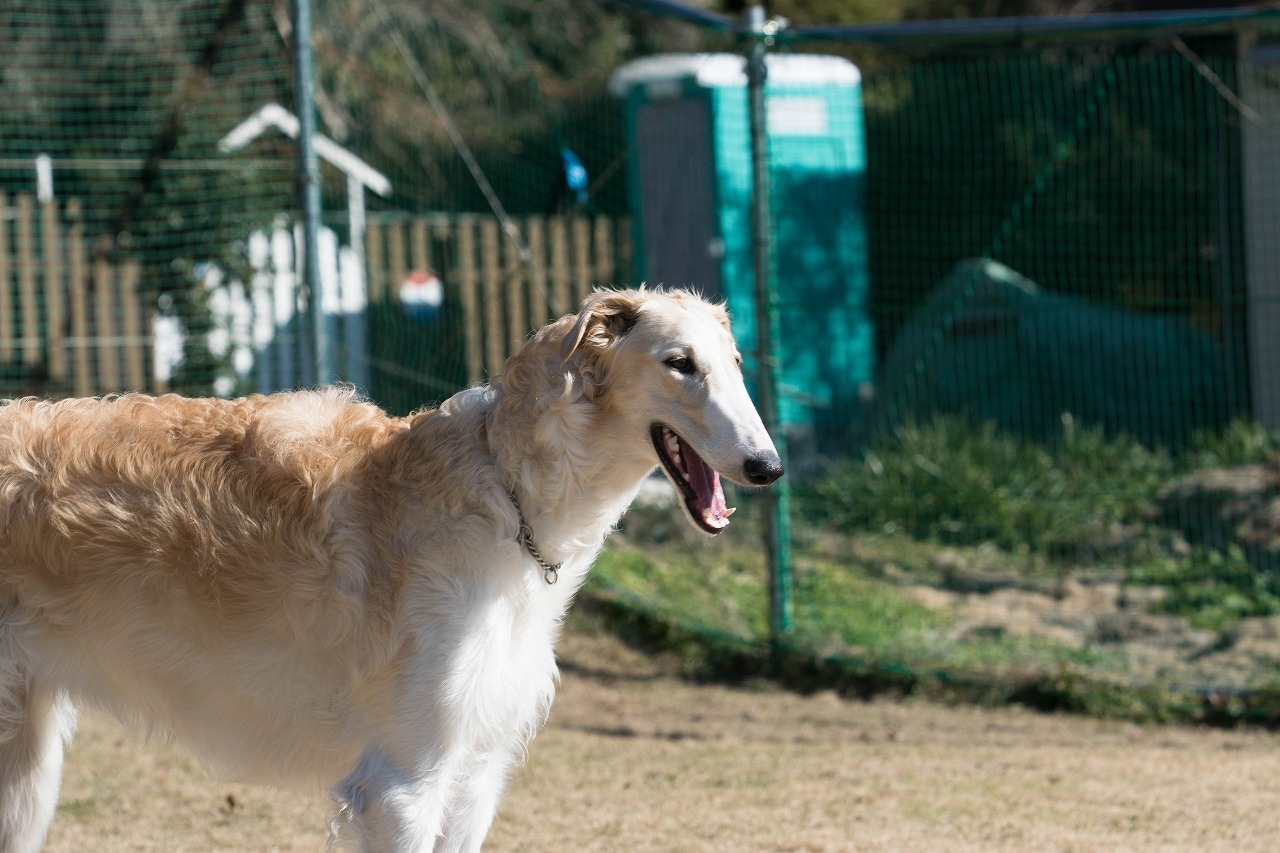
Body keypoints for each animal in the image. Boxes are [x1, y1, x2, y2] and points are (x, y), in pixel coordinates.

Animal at [0, 286, 778, 850]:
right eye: (680, 362)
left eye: (737, 362)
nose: (769, 467)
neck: (506, 495)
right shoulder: (402, 786)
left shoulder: (474, 777)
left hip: (27, 772)